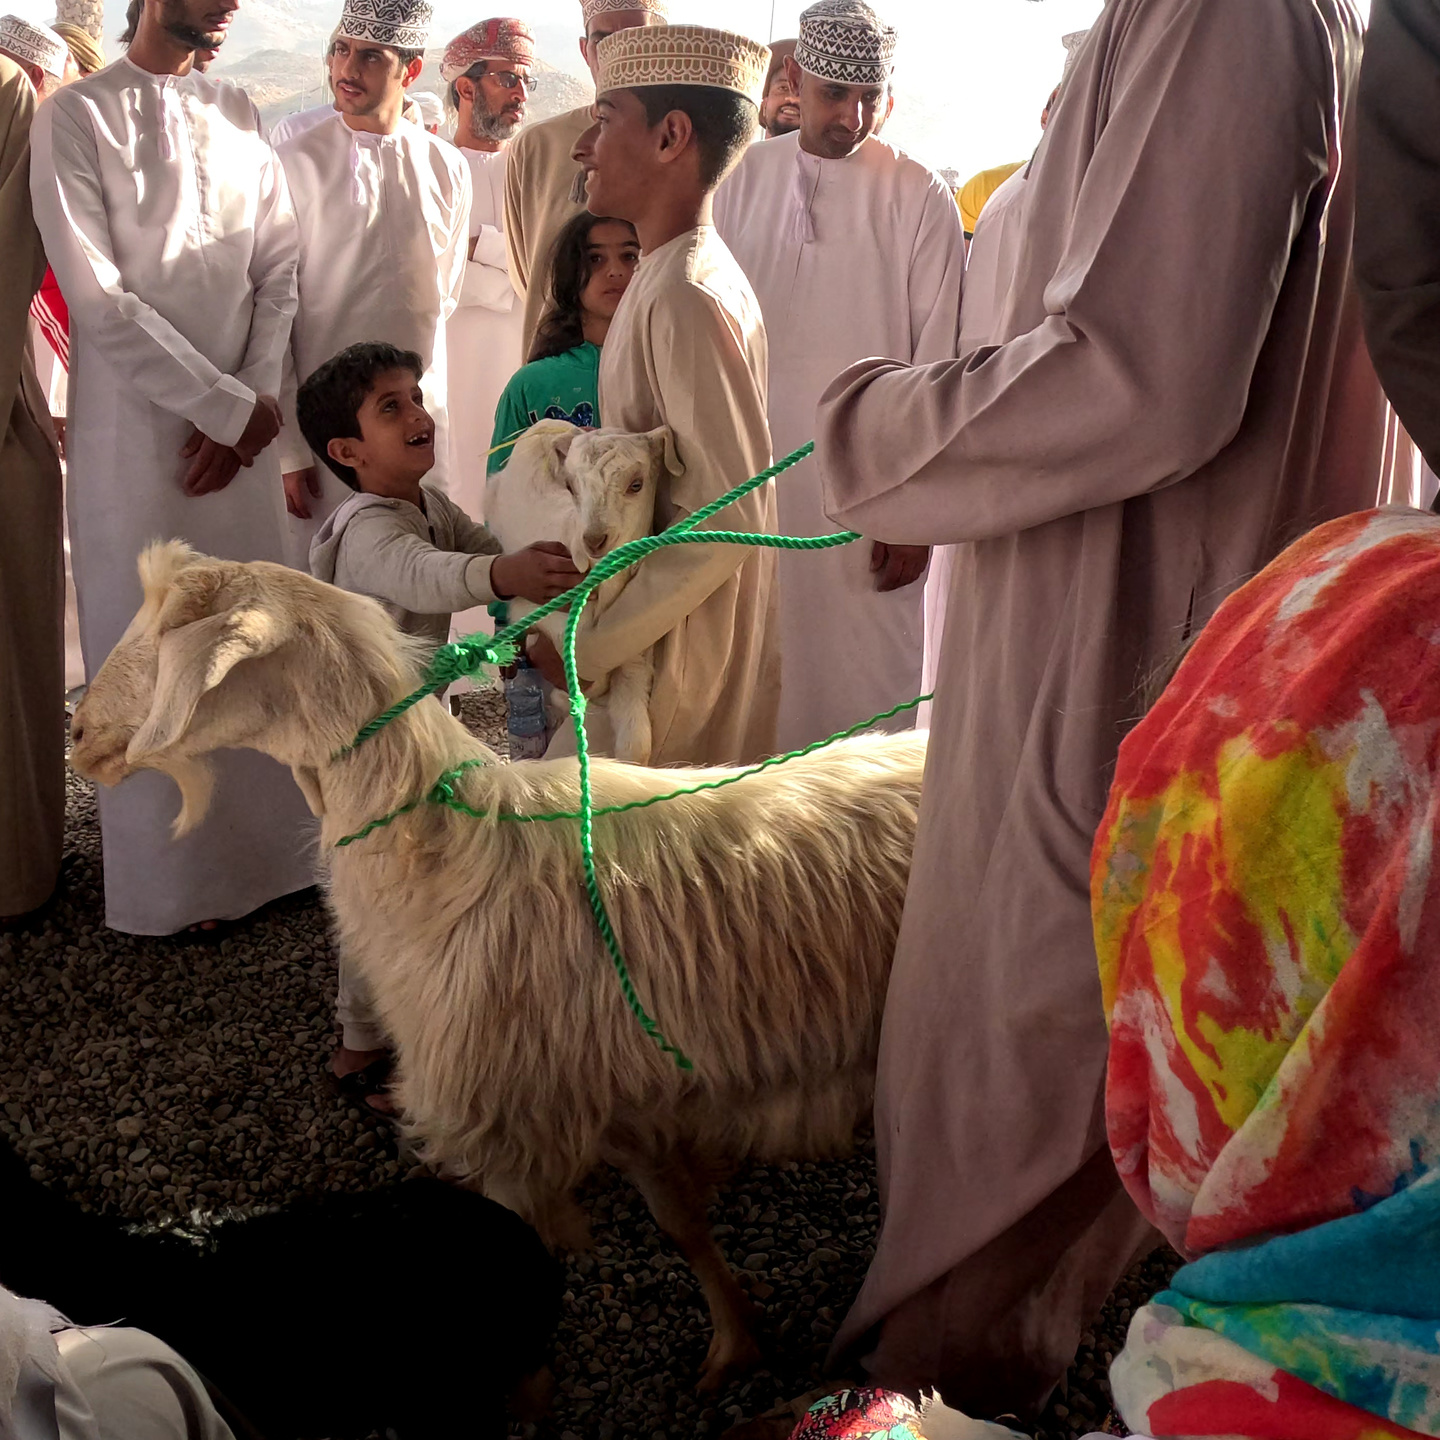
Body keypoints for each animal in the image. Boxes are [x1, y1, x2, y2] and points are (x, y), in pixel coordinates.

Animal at [70, 541, 921, 1393]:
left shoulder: (505, 1125)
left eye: (172, 628)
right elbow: (680, 1225)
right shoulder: (620, 1098)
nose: (79, 732)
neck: (444, 847)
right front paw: (735, 1342)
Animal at [483, 420, 662, 766]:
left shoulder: (634, 643)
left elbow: (637, 744)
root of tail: (549, 425)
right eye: (571, 486)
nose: (593, 539)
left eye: (637, 484)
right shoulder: (537, 610)